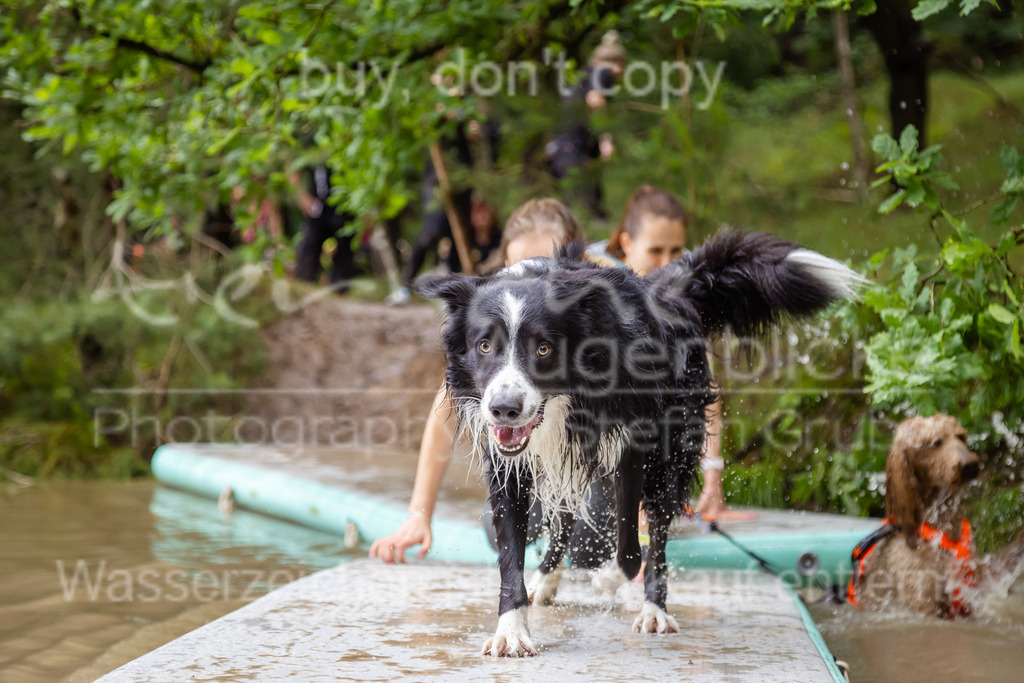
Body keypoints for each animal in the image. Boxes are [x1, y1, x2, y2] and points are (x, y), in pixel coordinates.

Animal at [847, 413, 1024, 618]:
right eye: (934, 443)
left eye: (961, 437)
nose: (970, 465)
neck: (941, 523)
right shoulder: (923, 601)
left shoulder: (971, 587)